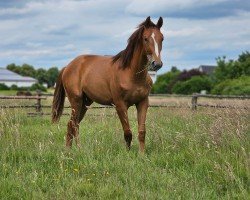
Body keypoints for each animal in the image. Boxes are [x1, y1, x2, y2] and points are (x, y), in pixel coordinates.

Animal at [51, 16, 163, 152]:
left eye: (162, 38)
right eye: (145, 38)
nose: (156, 64)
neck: (131, 74)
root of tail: (68, 67)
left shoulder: (143, 103)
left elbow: (142, 132)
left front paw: (141, 154)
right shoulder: (120, 105)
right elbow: (128, 132)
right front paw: (128, 153)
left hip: (85, 103)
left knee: (74, 124)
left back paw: (72, 149)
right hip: (76, 101)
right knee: (73, 124)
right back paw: (75, 149)